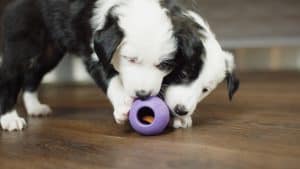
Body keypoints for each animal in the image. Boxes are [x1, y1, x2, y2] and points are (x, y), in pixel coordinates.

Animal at [0, 0, 178, 131]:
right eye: (130, 59)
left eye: (164, 65)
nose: (143, 95)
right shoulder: (96, 53)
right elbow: (111, 80)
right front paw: (122, 104)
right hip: (21, 41)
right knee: (10, 76)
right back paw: (9, 118)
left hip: (49, 53)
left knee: (33, 75)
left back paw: (35, 107)